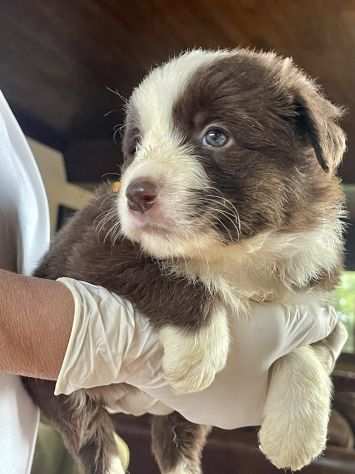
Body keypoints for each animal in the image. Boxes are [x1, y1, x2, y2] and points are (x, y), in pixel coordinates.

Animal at [23, 49, 348, 474]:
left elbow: (308, 347)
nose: (134, 193)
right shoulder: (91, 246)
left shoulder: (309, 291)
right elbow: (160, 270)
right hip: (60, 390)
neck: (234, 254)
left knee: (176, 441)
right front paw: (198, 350)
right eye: (136, 146)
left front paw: (297, 430)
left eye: (215, 135)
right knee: (93, 438)